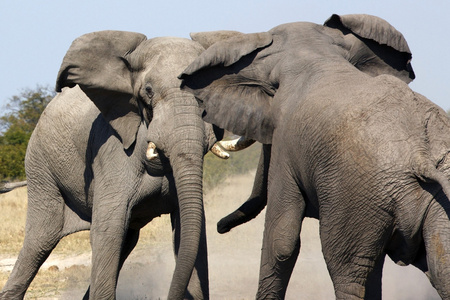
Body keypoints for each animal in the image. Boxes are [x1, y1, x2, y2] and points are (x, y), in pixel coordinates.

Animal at [0, 30, 248, 300]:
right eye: (148, 90)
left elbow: (189, 229)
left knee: (124, 241)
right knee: (40, 240)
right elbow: (108, 229)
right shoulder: (112, 153)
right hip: (40, 167)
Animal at [181, 14, 450, 300]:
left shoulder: (286, 142)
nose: (219, 226)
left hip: (355, 197)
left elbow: (281, 240)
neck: (317, 56)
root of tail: (420, 156)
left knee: (345, 269)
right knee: (439, 268)